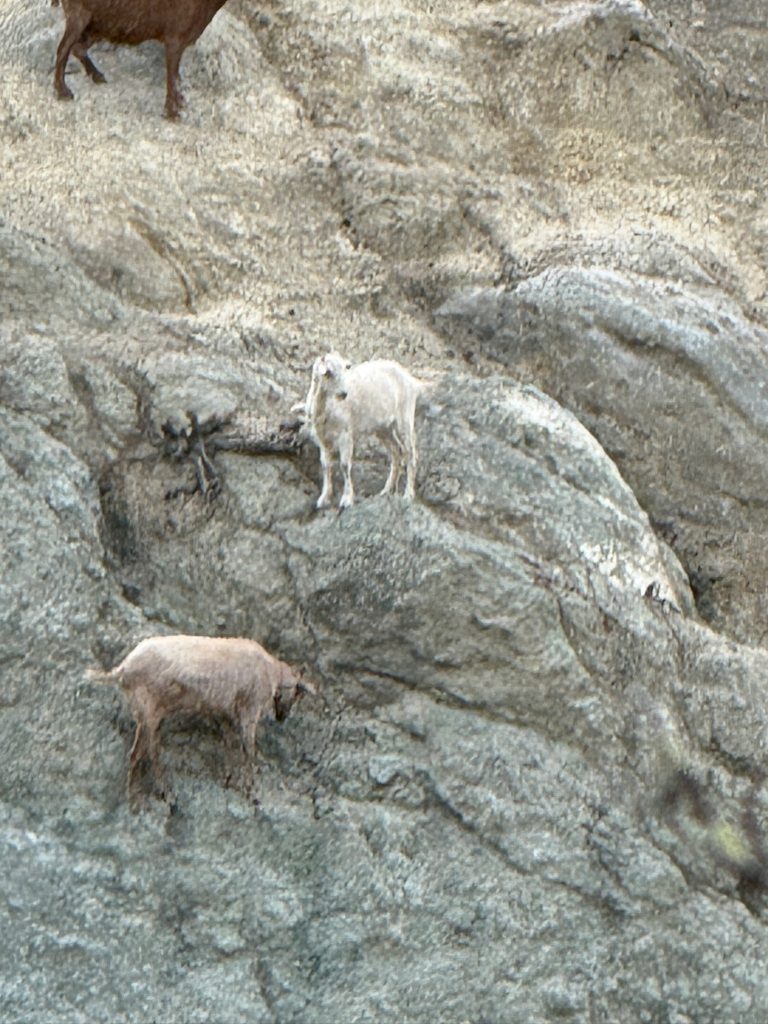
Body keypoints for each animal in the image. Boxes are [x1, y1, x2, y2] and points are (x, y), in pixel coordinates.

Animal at [51, 0, 230, 118]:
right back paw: (63, 91)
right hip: (80, 13)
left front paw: (180, 102)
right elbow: (172, 75)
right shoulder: (175, 37)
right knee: (64, 48)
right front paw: (172, 112)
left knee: (78, 48)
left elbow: (176, 76)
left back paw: (97, 75)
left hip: (101, 23)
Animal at [87, 634, 316, 806]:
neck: (270, 670)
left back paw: (133, 796)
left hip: (146, 713)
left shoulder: (223, 713)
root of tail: (123, 669)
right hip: (149, 710)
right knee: (149, 753)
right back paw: (165, 794)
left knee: (136, 754)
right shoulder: (249, 710)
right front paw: (251, 792)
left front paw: (229, 780)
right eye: (297, 694)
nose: (282, 717)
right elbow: (248, 750)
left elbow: (230, 744)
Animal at [298, 352, 426, 510]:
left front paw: (347, 500)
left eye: (344, 370)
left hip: (404, 419)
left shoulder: (345, 435)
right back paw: (386, 491)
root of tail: (412, 381)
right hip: (383, 428)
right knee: (396, 452)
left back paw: (408, 494)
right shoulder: (323, 440)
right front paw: (323, 499)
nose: (343, 394)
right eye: (328, 373)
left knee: (410, 454)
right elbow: (325, 466)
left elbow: (344, 465)